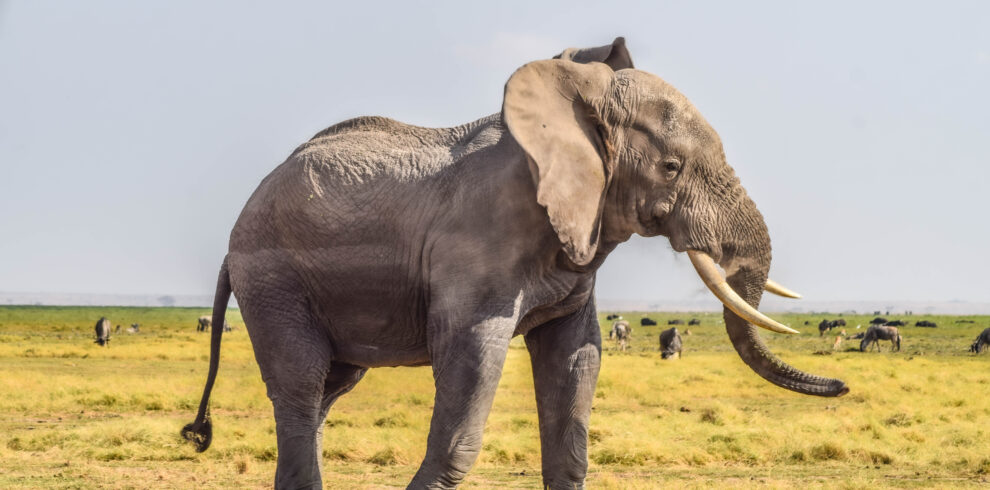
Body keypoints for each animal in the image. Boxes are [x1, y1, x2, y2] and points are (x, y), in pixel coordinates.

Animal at [181, 37, 847, 489]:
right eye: (671, 167)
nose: (839, 385)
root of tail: (234, 235)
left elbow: (577, 363)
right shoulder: (476, 250)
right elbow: (472, 367)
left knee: (328, 389)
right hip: (273, 278)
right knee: (301, 385)